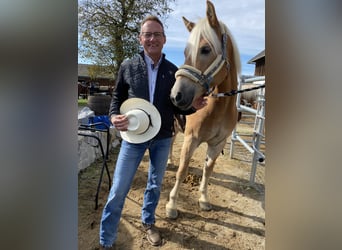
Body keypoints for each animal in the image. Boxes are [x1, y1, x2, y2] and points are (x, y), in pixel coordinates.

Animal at [166, 0, 240, 219]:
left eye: (206, 49)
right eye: (185, 53)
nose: (176, 95)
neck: (219, 108)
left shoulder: (217, 144)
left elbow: (208, 171)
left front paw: (204, 199)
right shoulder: (191, 139)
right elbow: (183, 171)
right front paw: (172, 205)